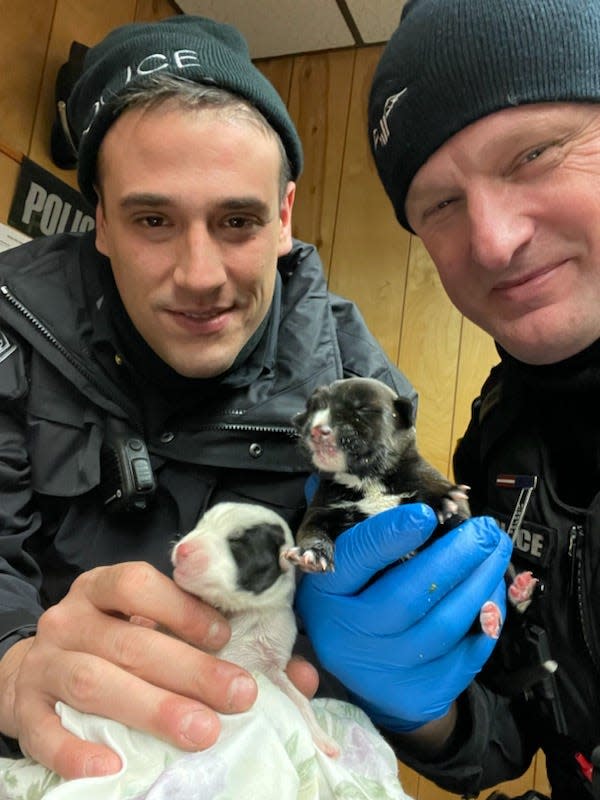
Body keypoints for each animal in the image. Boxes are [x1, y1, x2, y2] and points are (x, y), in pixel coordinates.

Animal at [171, 504, 340, 760]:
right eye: (201, 524)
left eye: (236, 543)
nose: (182, 550)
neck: (241, 612)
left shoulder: (273, 658)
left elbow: (298, 699)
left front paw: (324, 740)